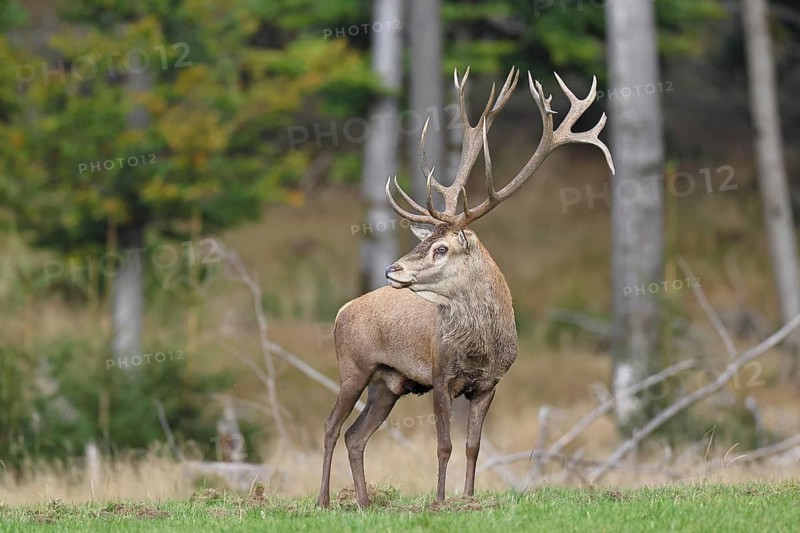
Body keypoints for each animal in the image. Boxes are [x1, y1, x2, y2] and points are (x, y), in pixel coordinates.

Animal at [317, 66, 615, 508]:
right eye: (423, 240)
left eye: (440, 247)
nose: (392, 269)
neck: (481, 347)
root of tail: (340, 312)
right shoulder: (441, 376)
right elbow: (444, 445)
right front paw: (440, 500)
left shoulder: (489, 384)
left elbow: (473, 447)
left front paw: (469, 498)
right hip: (353, 366)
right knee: (330, 426)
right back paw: (323, 500)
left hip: (388, 384)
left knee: (355, 436)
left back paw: (365, 502)